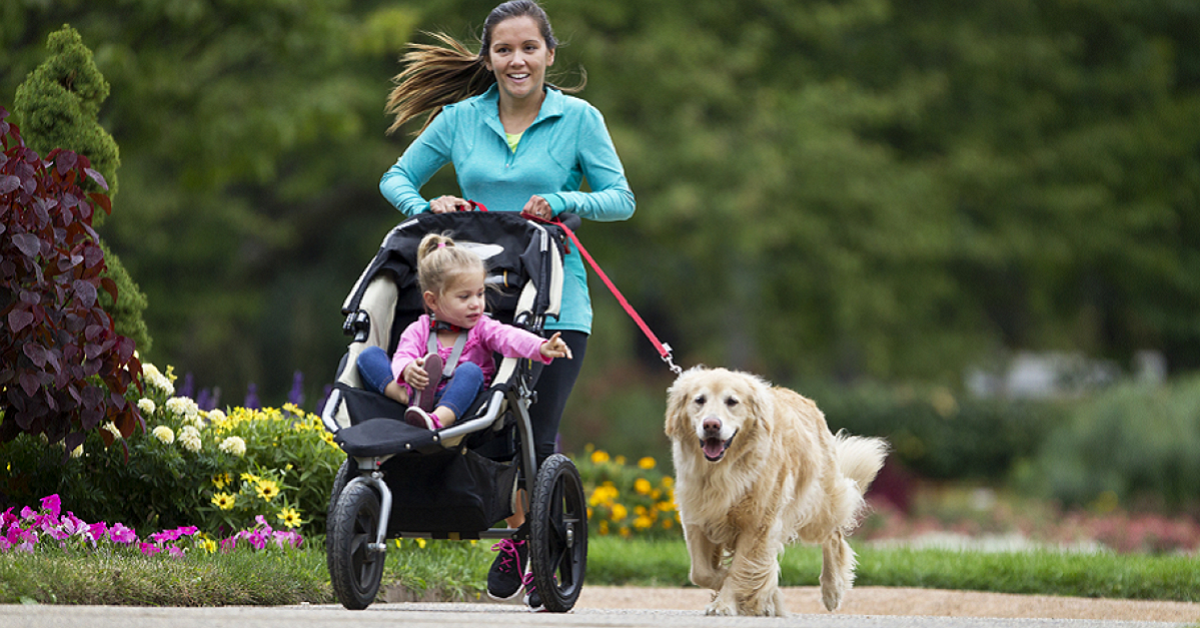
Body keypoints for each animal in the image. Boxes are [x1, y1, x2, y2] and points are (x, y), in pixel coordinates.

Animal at [667, 365, 892, 614]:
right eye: (699, 400)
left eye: (732, 401)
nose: (711, 425)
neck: (722, 471)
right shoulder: (696, 518)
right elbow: (701, 573)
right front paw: (759, 594)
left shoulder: (757, 525)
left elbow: (742, 569)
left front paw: (728, 602)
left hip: (817, 508)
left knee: (833, 536)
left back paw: (832, 590)